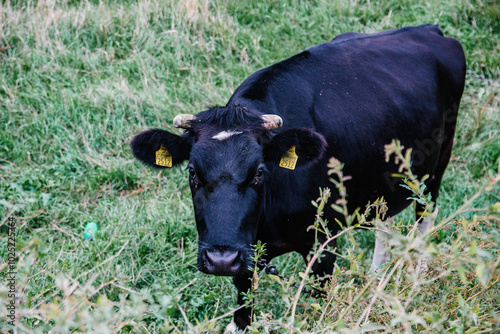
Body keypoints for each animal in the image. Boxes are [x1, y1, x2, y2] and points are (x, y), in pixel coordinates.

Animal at [129, 24, 464, 330]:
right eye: (192, 172)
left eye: (259, 172)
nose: (221, 259)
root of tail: (426, 29)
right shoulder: (245, 248)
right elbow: (243, 303)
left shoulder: (323, 244)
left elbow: (320, 304)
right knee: (385, 220)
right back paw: (375, 279)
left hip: (436, 167)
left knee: (425, 218)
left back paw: (418, 278)